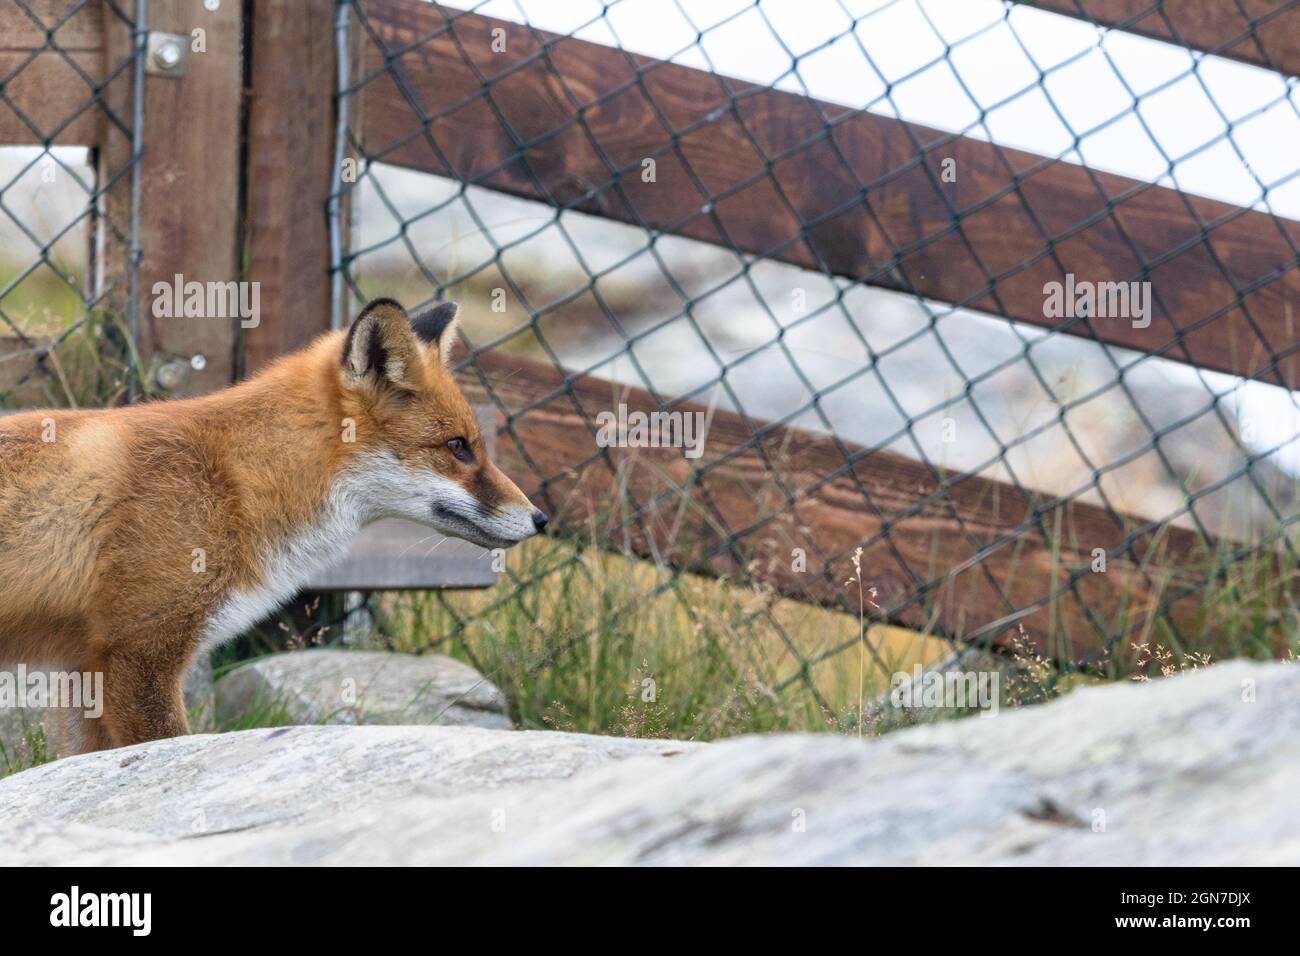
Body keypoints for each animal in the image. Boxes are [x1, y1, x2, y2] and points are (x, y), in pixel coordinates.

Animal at [0, 298, 547, 754]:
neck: (236, 481)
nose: (540, 519)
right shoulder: (137, 655)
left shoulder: (84, 670)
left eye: (475, 445)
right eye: (458, 447)